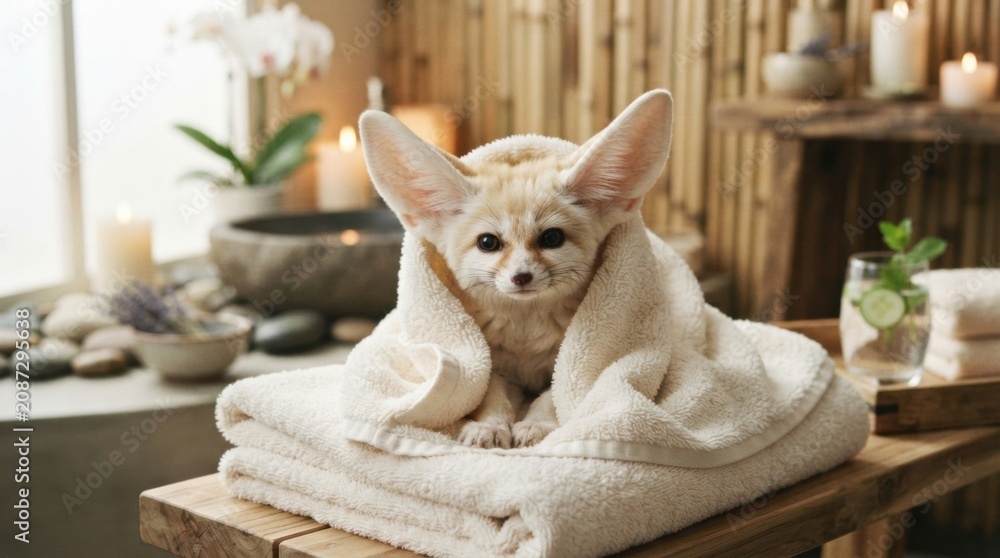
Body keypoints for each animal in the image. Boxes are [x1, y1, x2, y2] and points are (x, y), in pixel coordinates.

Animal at [359, 89, 673, 449]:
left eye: (552, 238)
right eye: (488, 242)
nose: (521, 277)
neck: (525, 333)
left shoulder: (562, 364)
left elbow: (550, 396)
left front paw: (536, 425)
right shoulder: (489, 365)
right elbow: (490, 395)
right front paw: (488, 427)